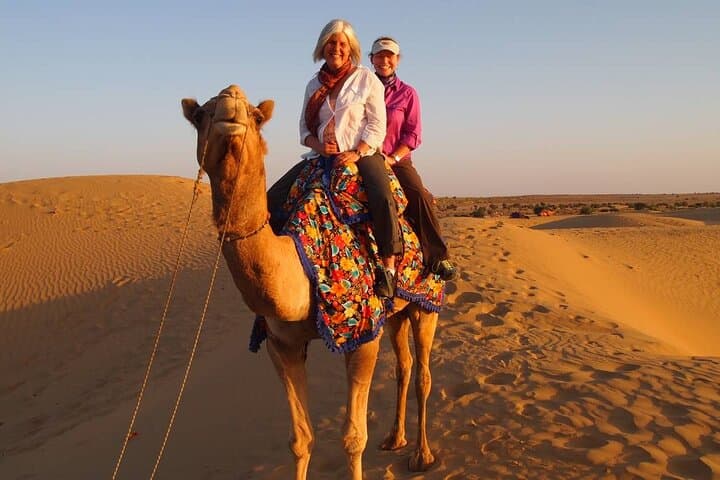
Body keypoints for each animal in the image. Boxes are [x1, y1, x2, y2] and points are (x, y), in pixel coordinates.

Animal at [181, 84, 439, 479]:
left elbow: (353, 437)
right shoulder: (281, 345)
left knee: (424, 372)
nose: (231, 101)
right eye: (199, 116)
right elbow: (300, 439)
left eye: (257, 116)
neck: (302, 268)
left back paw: (422, 455)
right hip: (396, 311)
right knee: (404, 365)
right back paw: (395, 438)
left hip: (429, 303)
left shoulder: (362, 335)